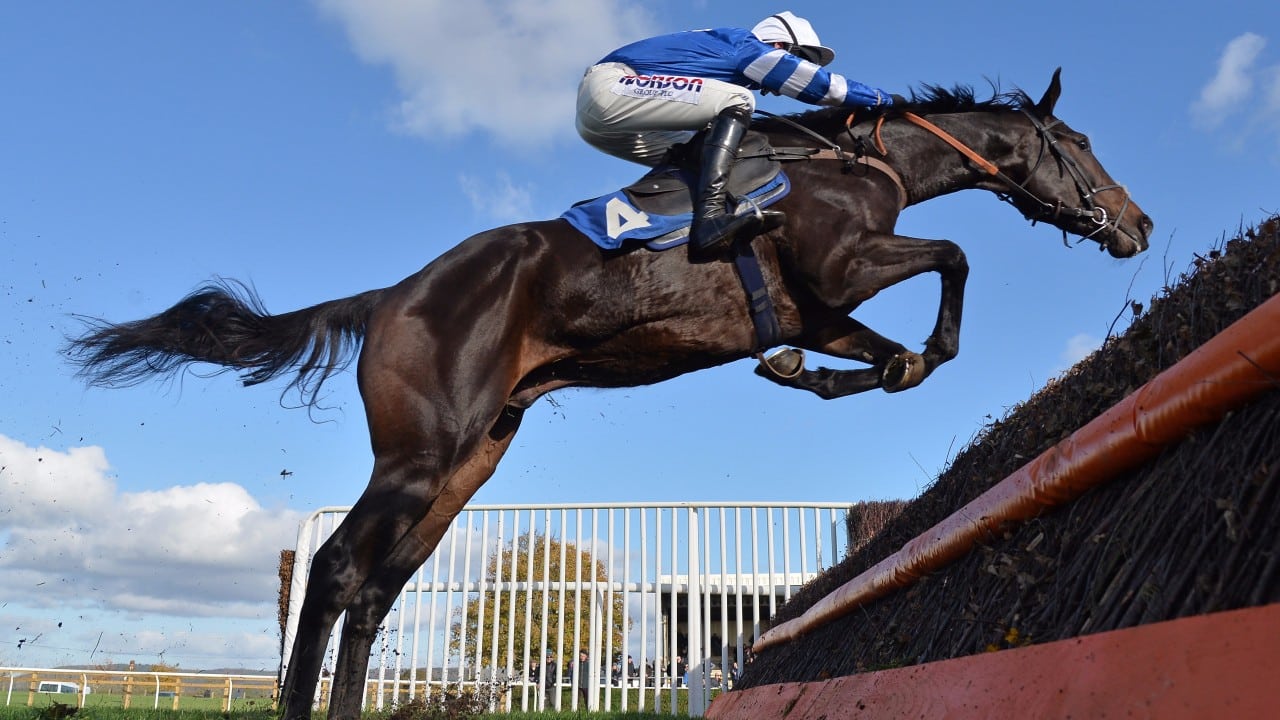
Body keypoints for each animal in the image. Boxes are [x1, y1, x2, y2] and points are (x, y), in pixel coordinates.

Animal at [67, 68, 1152, 717]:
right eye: (1078, 142)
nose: (1138, 224)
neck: (856, 163)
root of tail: (391, 295)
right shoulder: (841, 266)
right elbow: (956, 253)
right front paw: (905, 354)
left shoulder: (818, 308)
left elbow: (864, 349)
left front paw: (865, 369)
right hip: (421, 451)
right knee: (335, 570)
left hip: (472, 456)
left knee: (376, 587)